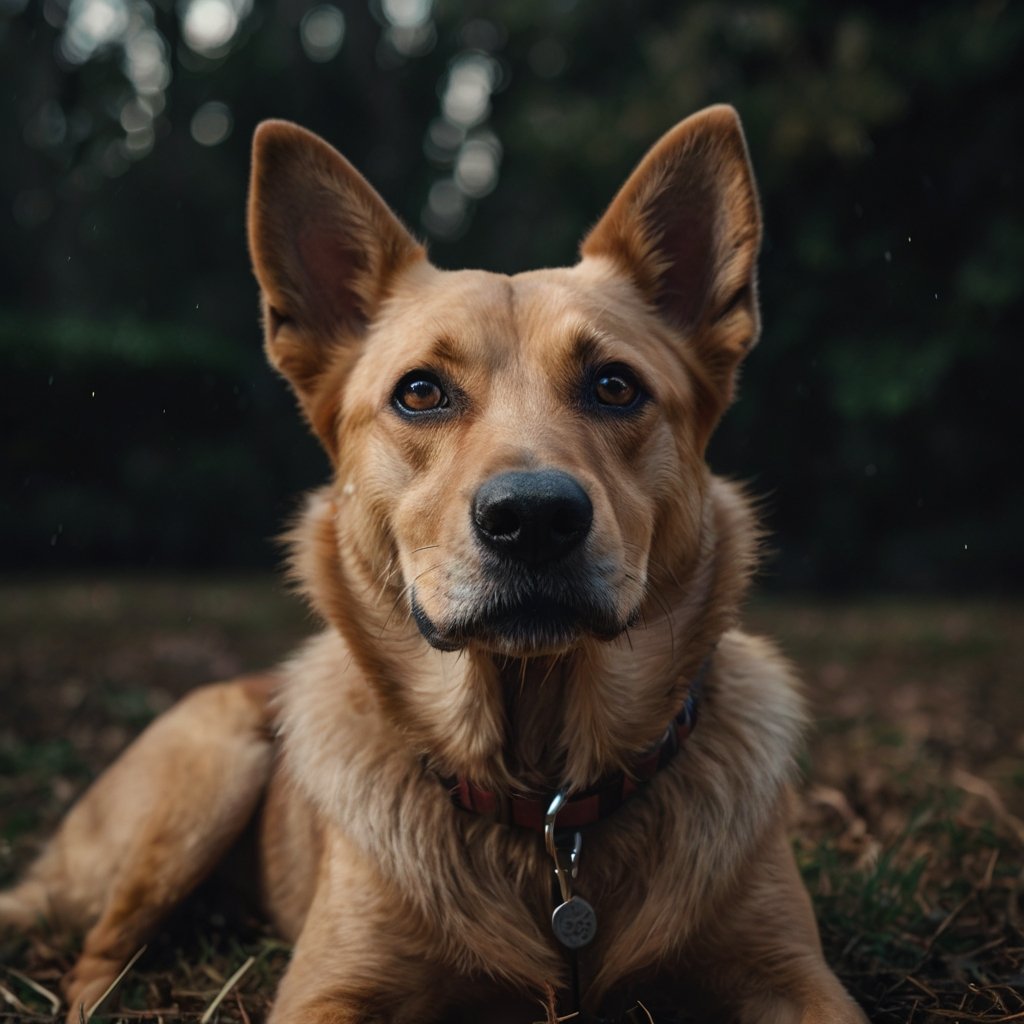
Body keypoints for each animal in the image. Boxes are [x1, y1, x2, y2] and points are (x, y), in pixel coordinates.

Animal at [0, 108, 868, 1019]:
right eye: (420, 392)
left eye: (615, 386)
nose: (533, 520)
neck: (545, 810)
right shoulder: (327, 990)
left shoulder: (793, 976)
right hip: (208, 770)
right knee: (96, 955)